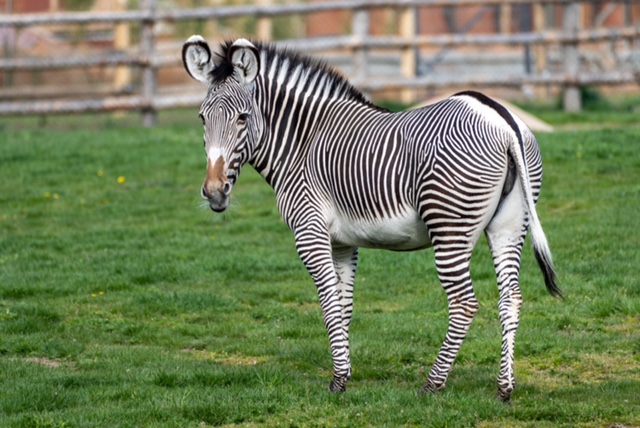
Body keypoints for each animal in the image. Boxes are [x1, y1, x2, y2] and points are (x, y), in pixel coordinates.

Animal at [180, 36, 560, 402]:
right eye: (201, 118)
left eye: (242, 118)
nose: (214, 193)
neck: (301, 144)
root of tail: (501, 118)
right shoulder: (342, 242)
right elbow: (344, 305)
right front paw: (345, 371)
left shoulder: (310, 233)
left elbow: (328, 304)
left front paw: (337, 382)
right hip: (510, 225)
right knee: (511, 298)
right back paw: (504, 388)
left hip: (450, 228)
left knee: (464, 304)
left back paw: (433, 384)